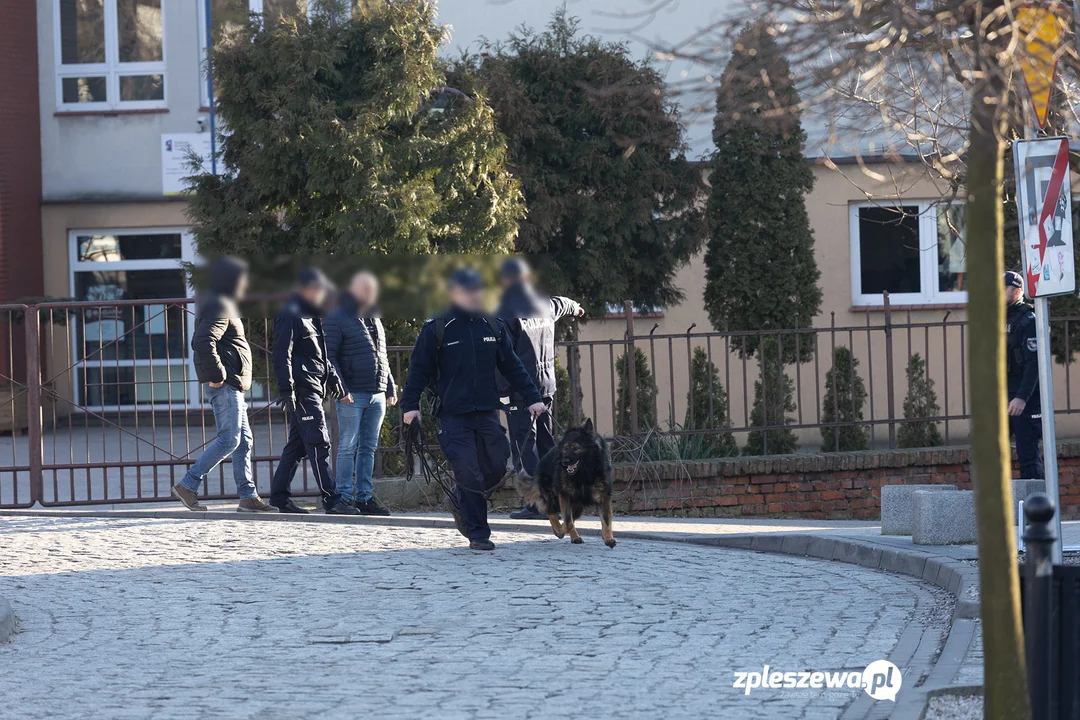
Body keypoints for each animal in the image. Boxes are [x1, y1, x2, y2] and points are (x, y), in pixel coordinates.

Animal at [516, 418, 617, 548]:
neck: (584, 473)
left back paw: (574, 537)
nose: (564, 462)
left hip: (577, 506)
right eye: (565, 448)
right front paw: (560, 530)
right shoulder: (565, 495)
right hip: (553, 497)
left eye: (576, 448)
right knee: (550, 511)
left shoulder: (603, 497)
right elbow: (568, 522)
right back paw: (560, 530)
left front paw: (608, 538)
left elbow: (606, 521)